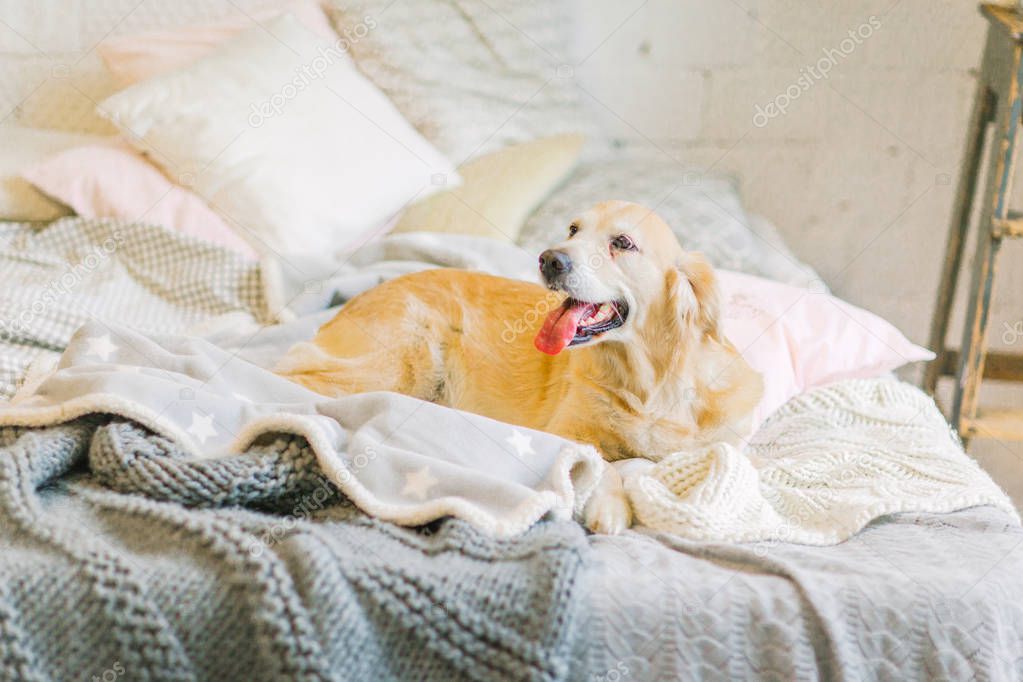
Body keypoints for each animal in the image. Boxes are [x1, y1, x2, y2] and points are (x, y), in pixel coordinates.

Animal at [276, 200, 765, 535]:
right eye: (572, 229)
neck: (649, 384)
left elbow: (653, 463)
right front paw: (609, 505)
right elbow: (603, 463)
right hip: (404, 359)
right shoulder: (566, 432)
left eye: (622, 243)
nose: (550, 259)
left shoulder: (725, 446)